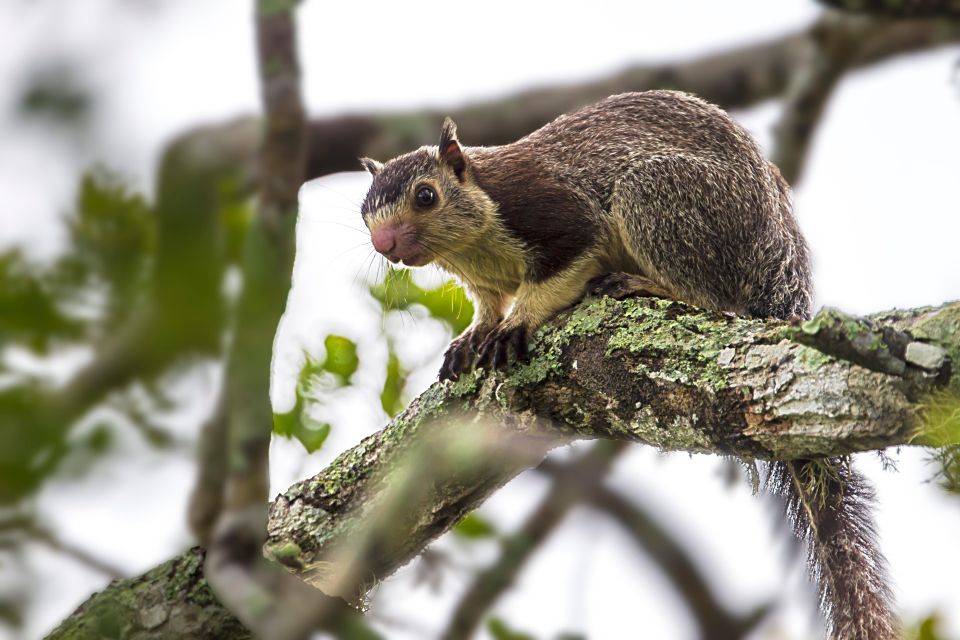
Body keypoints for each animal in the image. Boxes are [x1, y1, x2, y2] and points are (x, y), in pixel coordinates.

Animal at [356, 91, 896, 640]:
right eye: (364, 212)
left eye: (426, 196)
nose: (385, 245)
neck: (472, 245)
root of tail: (781, 273)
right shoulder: (482, 280)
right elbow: (487, 306)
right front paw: (474, 335)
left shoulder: (556, 213)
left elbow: (559, 269)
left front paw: (517, 323)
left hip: (663, 200)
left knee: (713, 298)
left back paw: (641, 283)